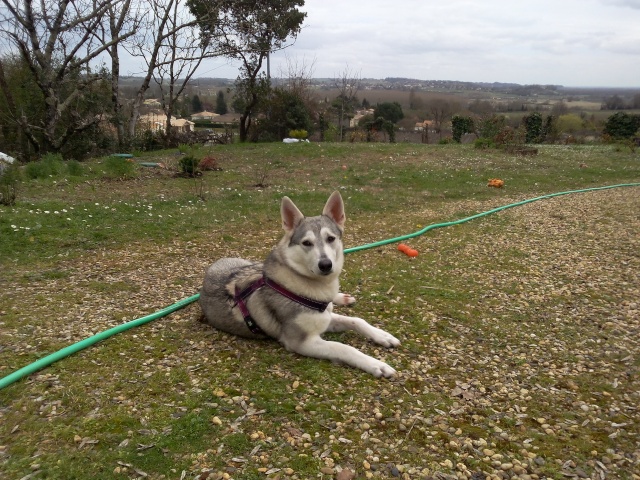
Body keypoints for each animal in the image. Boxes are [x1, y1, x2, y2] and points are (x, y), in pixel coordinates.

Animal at [200, 191, 400, 378]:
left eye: (330, 238)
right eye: (307, 243)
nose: (325, 265)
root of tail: (214, 265)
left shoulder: (325, 317)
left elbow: (356, 320)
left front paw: (382, 335)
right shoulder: (303, 341)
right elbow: (343, 347)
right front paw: (375, 364)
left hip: (253, 264)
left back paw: (341, 297)